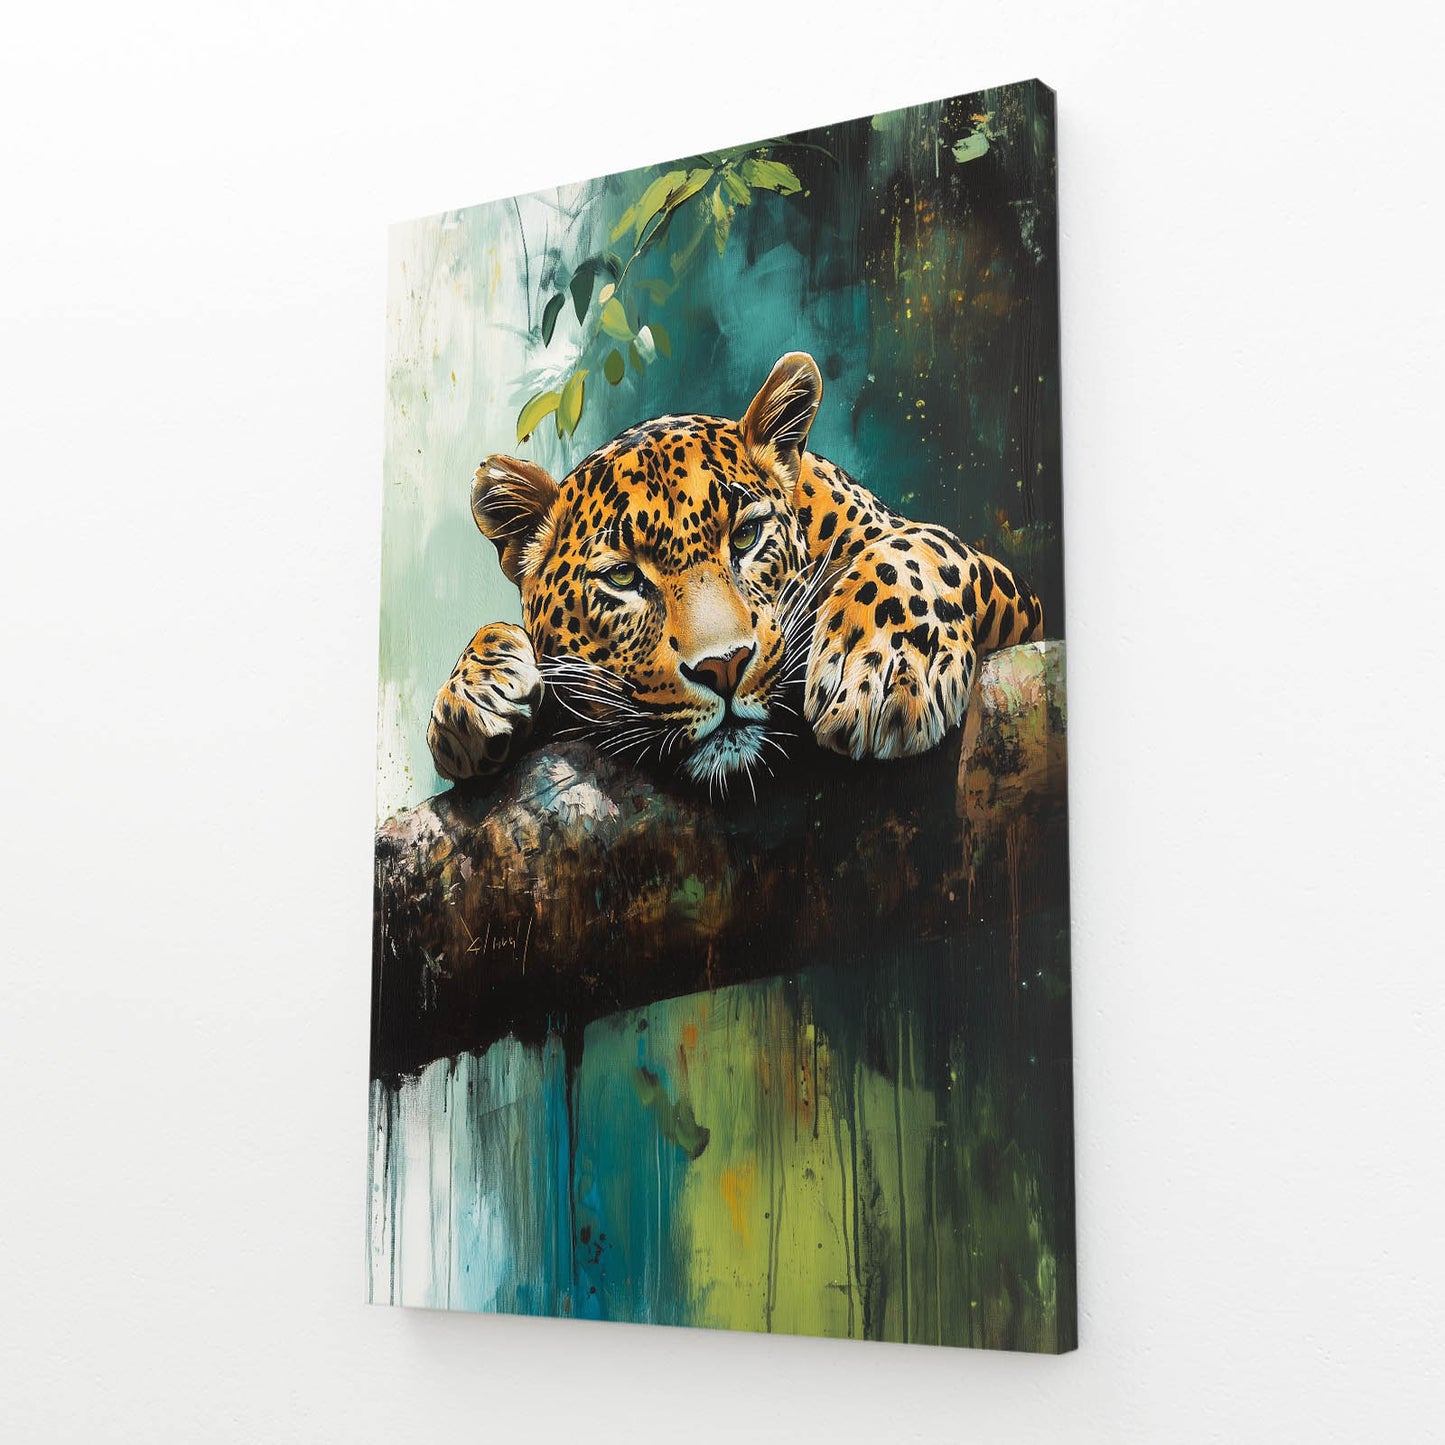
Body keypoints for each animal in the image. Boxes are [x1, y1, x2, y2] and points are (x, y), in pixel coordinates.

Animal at [427, 351, 1045, 796]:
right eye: (623, 578)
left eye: (746, 537)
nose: (723, 667)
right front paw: (472, 698)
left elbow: (922, 546)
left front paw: (882, 667)